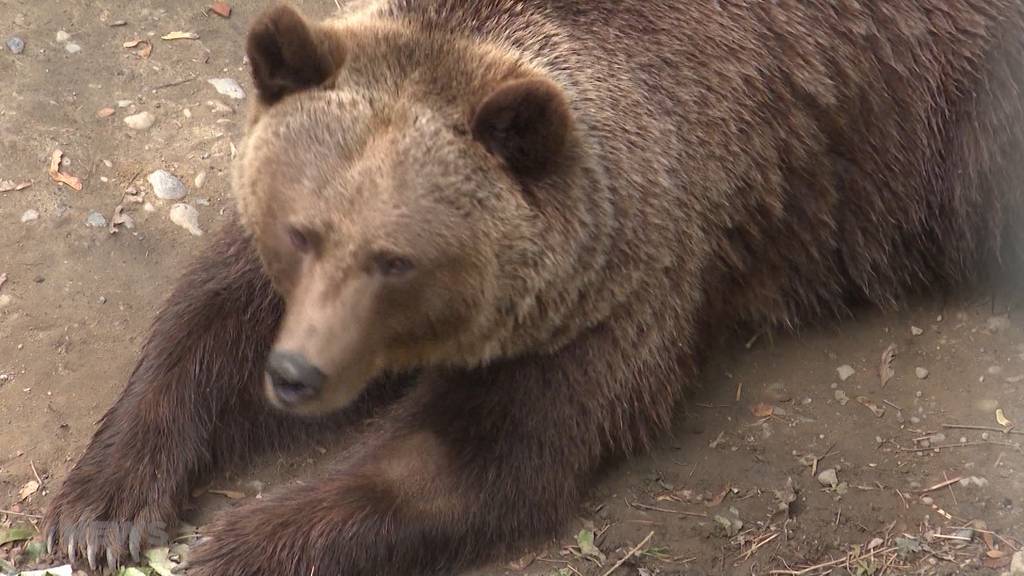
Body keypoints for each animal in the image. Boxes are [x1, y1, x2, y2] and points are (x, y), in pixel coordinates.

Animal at [41, 1, 1024, 573]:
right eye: (303, 230)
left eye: (397, 260)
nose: (298, 378)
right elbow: (208, 321)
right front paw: (101, 511)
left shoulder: (637, 283)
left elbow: (487, 451)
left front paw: (241, 542)